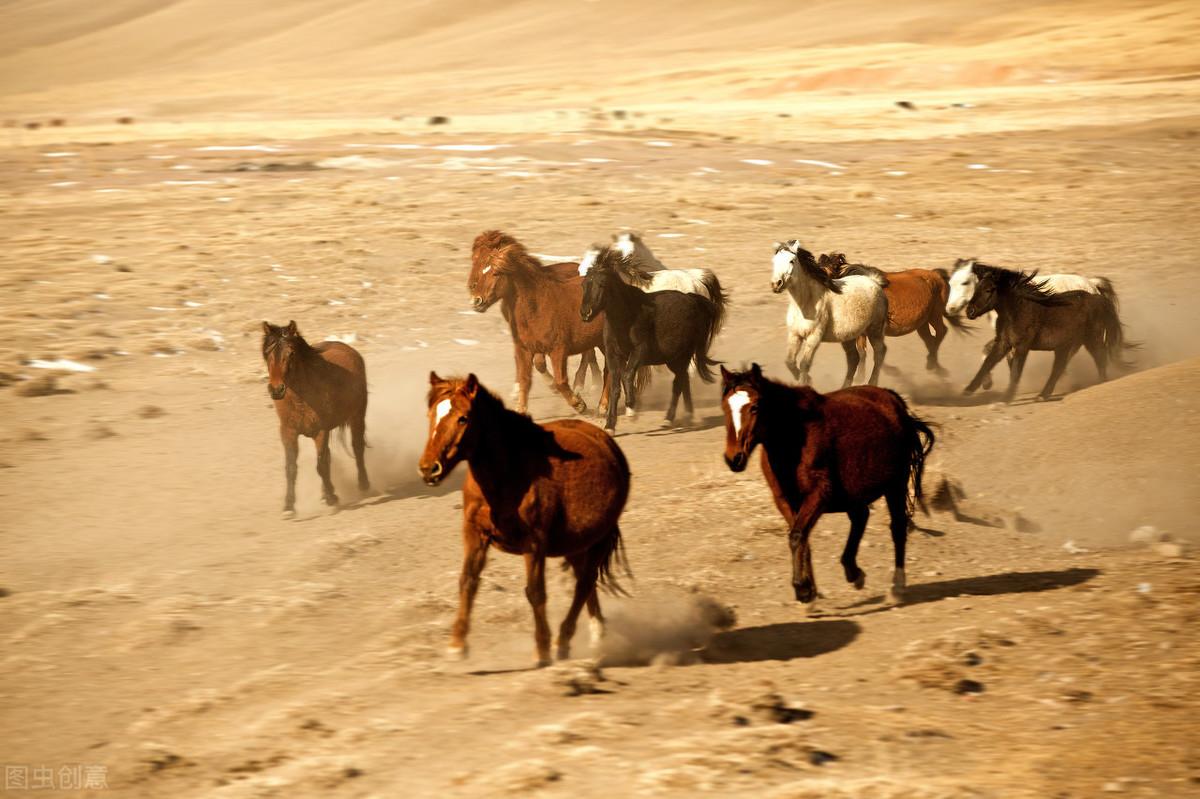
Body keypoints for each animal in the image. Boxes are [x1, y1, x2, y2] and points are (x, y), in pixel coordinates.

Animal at [578, 245, 720, 431]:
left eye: (601, 284)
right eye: (584, 284)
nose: (585, 313)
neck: (626, 315)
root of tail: (693, 295)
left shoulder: (640, 351)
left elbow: (627, 375)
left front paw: (631, 408)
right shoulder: (613, 355)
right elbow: (616, 385)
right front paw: (610, 424)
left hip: (682, 355)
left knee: (679, 381)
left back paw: (672, 418)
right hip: (674, 358)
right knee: (683, 379)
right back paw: (687, 416)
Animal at [715, 364, 931, 599]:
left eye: (754, 407)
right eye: (725, 407)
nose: (733, 458)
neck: (794, 438)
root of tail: (892, 399)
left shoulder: (818, 494)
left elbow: (797, 535)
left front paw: (802, 588)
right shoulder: (784, 500)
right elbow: (802, 538)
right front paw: (809, 590)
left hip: (896, 485)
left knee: (897, 527)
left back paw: (898, 583)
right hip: (855, 494)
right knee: (861, 517)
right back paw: (852, 571)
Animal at [772, 239, 888, 386]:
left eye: (791, 261)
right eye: (774, 260)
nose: (776, 284)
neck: (805, 304)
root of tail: (874, 281)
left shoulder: (814, 337)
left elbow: (804, 364)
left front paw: (805, 383)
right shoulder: (795, 334)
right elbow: (790, 362)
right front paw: (808, 379)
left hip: (874, 329)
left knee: (879, 352)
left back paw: (871, 383)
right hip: (849, 336)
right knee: (853, 358)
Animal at [820, 255, 969, 379]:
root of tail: (937, 275)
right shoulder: (862, 332)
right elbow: (863, 352)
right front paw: (861, 377)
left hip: (935, 314)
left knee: (941, 332)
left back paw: (932, 365)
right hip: (922, 322)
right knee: (930, 340)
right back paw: (935, 367)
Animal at [960, 263, 1128, 400]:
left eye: (989, 289)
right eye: (976, 288)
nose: (969, 311)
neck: (1017, 310)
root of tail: (1097, 297)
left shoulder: (1022, 346)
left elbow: (1015, 370)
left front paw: (1006, 397)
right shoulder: (1003, 343)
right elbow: (987, 363)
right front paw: (968, 390)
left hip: (1092, 339)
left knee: (1099, 357)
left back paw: (1101, 382)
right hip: (1066, 345)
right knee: (1060, 366)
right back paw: (1044, 394)